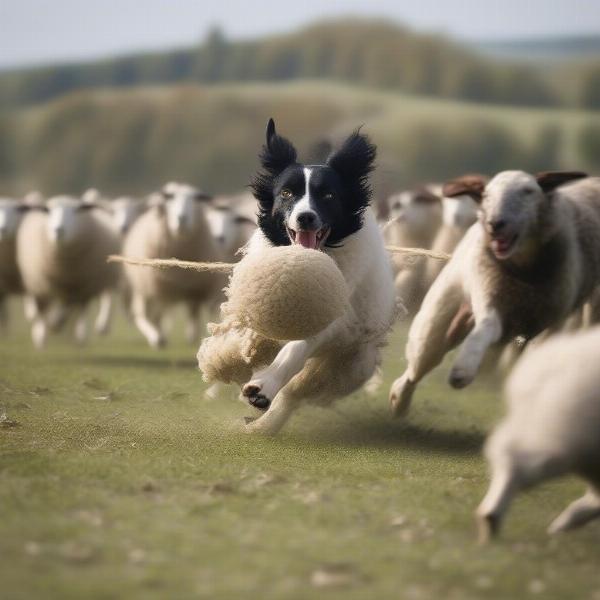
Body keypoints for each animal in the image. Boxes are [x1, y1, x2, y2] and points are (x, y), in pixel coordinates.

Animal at [16, 197, 120, 346]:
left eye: (76, 210)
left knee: (87, 305)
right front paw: (40, 337)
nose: (58, 230)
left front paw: (56, 325)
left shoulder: (79, 287)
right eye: (48, 210)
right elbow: (42, 311)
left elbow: (68, 307)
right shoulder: (40, 285)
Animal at [123, 182, 226, 346]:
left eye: (196, 198)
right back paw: (156, 338)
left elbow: (193, 313)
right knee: (143, 314)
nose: (182, 218)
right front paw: (158, 337)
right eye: (170, 197)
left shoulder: (194, 289)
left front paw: (193, 337)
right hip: (145, 287)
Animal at [239, 119, 398, 434]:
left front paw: (263, 388)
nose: (306, 217)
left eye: (328, 195)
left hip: (351, 362)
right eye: (287, 193)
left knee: (295, 393)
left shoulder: (333, 313)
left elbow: (297, 347)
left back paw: (266, 420)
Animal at [390, 171, 600, 418]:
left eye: (528, 191)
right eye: (486, 195)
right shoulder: (489, 297)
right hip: (439, 311)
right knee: (424, 360)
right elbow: (486, 328)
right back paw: (400, 398)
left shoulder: (548, 320)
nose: (495, 224)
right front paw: (463, 370)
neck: (524, 272)